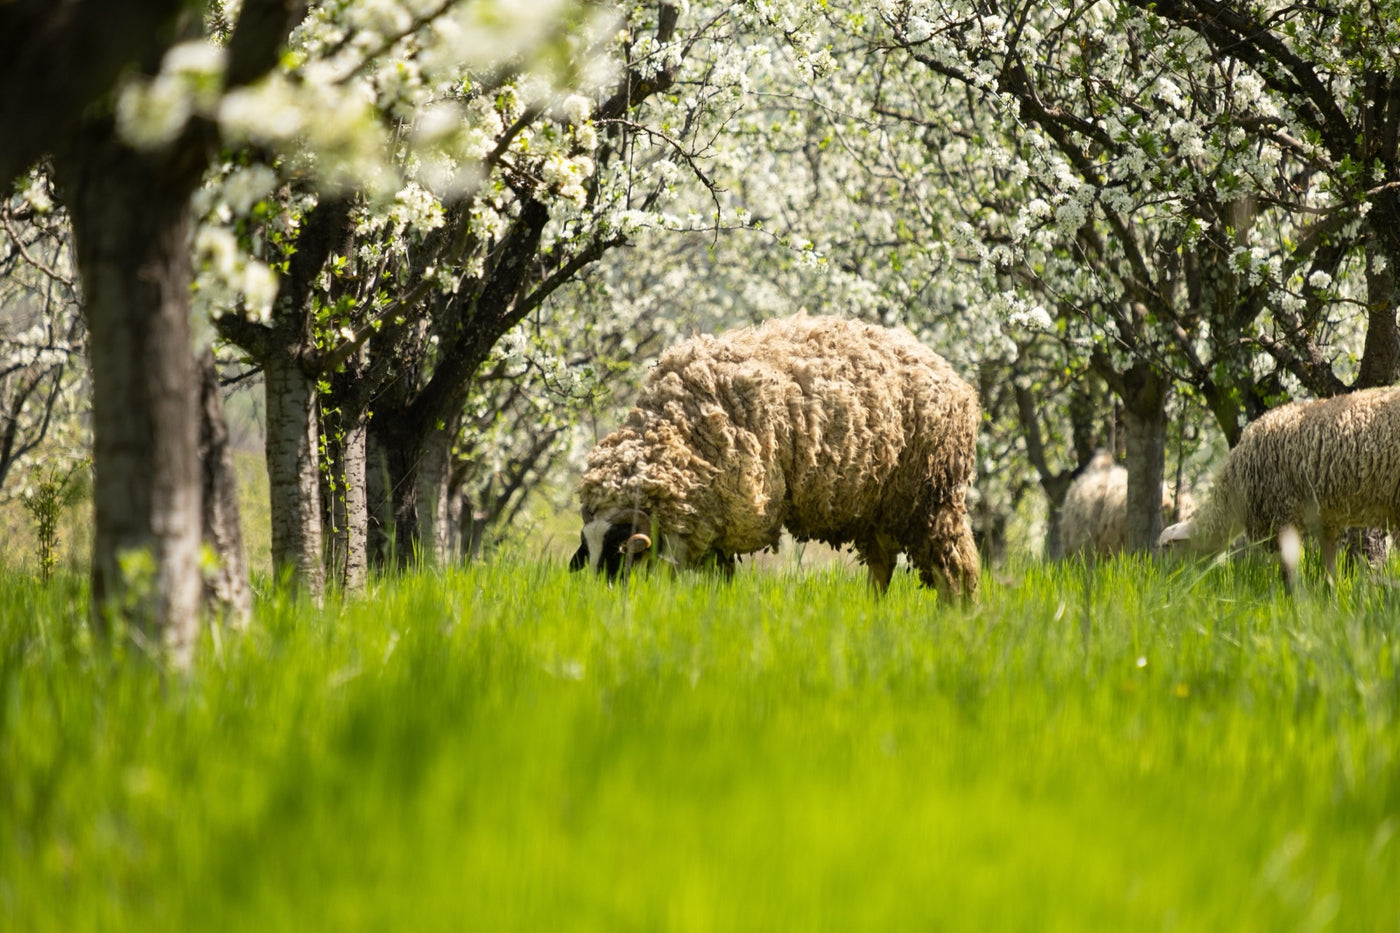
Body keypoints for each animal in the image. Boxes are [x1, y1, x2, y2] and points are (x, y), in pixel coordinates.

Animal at [569, 313, 981, 601]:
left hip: (930, 498)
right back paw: (871, 614)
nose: (602, 601)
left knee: (958, 570)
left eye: (618, 557)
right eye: (589, 554)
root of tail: (955, 379)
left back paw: (960, 618)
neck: (675, 431)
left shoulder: (734, 517)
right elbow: (718, 580)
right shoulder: (714, 524)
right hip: (879, 508)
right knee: (881, 569)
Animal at [1158, 386, 1400, 576]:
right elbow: (1329, 571)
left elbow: (1289, 572)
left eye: (1167, 550)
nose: (1163, 582)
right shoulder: (1326, 522)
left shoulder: (1280, 516)